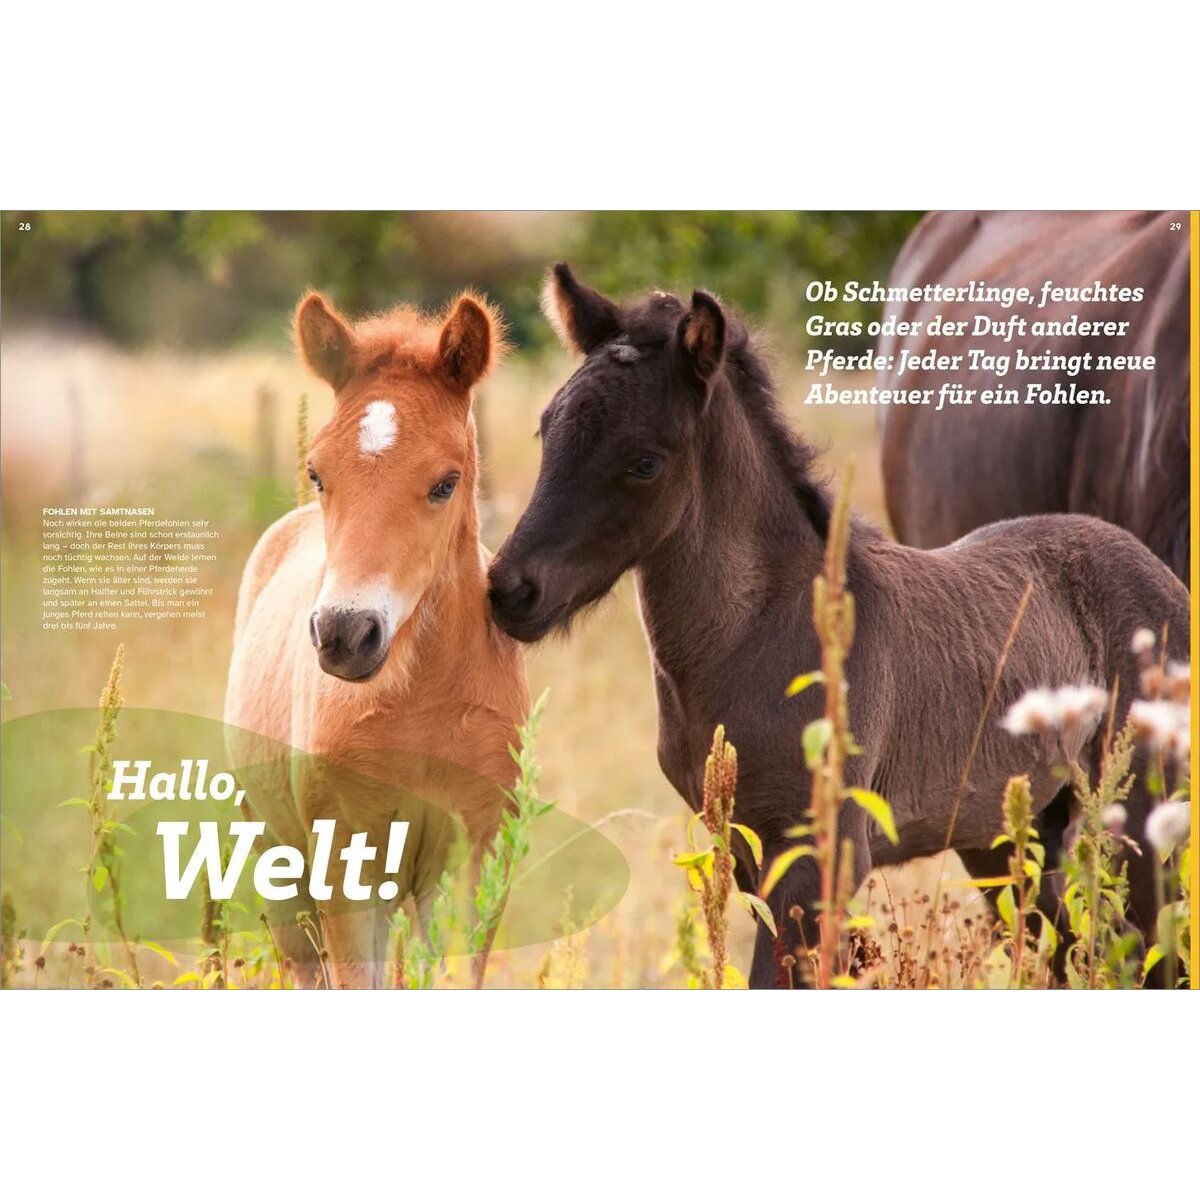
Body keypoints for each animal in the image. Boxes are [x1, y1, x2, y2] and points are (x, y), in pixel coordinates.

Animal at [224, 290, 529, 988]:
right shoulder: (345, 867)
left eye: (445, 482)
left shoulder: (474, 860)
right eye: (317, 473)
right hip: (281, 869)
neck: (421, 701)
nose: (344, 633)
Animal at [487, 264, 1190, 988]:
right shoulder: (746, 851)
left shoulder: (820, 856)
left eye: (644, 463)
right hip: (1006, 837)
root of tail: (1159, 574)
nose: (510, 589)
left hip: (1140, 823)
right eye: (548, 432)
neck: (758, 631)